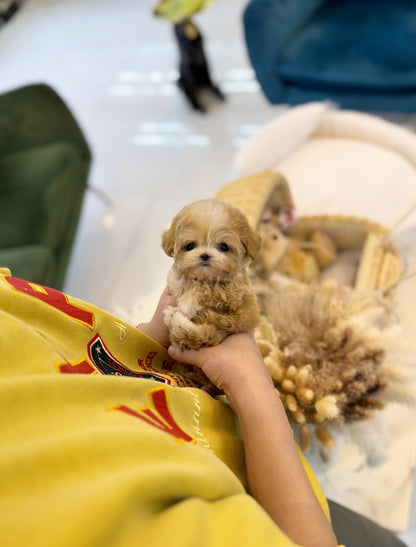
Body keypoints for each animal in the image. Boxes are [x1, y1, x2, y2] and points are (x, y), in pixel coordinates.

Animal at [162, 200, 260, 352]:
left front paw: (187, 303)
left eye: (224, 247)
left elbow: (208, 288)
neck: (205, 276)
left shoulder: (233, 294)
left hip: (228, 322)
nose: (205, 255)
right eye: (190, 246)